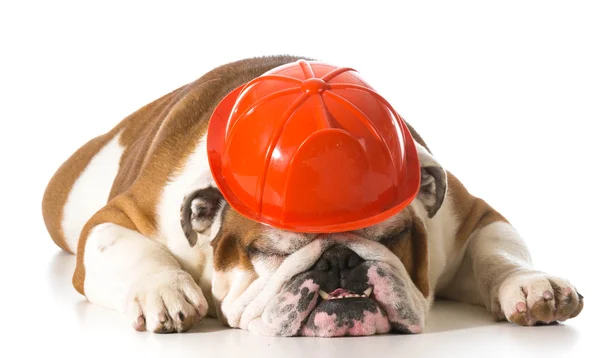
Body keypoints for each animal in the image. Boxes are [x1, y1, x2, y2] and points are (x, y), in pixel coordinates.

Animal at [41, 54, 580, 338]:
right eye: (272, 250)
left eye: (395, 236)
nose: (340, 260)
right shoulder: (120, 216)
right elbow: (126, 247)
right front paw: (167, 290)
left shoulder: (466, 220)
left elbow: (499, 252)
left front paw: (532, 286)